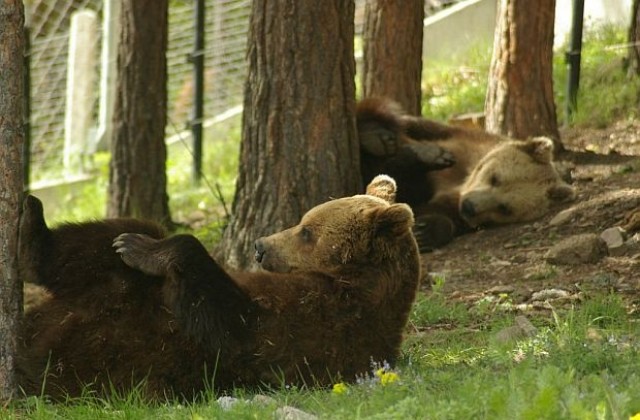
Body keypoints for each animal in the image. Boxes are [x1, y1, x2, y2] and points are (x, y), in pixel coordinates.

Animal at [16, 174, 420, 400]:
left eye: (307, 232)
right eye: (303, 221)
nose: (260, 246)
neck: (353, 282)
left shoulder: (320, 323)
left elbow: (232, 325)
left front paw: (144, 250)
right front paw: (138, 245)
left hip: (95, 361)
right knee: (113, 233)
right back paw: (33, 225)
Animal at [356, 97, 576, 249]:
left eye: (504, 208)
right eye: (495, 178)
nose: (470, 206)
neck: (464, 178)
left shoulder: (454, 207)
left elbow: (434, 212)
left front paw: (424, 230)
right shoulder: (462, 139)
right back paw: (376, 136)